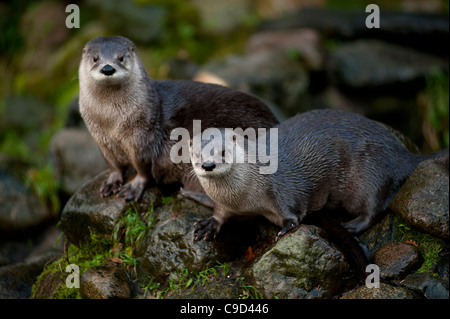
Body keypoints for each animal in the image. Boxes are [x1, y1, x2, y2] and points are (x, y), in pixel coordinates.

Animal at [79, 35, 280, 200]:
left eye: (121, 58)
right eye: (95, 58)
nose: (107, 68)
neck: (110, 121)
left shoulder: (142, 137)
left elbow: (143, 167)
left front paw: (135, 185)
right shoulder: (100, 137)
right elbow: (112, 164)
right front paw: (112, 181)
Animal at [192, 109, 448, 241]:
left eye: (222, 151)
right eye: (195, 154)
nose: (208, 165)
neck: (244, 197)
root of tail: (404, 156)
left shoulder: (281, 188)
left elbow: (292, 212)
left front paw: (286, 226)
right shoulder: (227, 203)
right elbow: (221, 213)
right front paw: (209, 224)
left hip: (373, 174)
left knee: (375, 208)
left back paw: (351, 226)